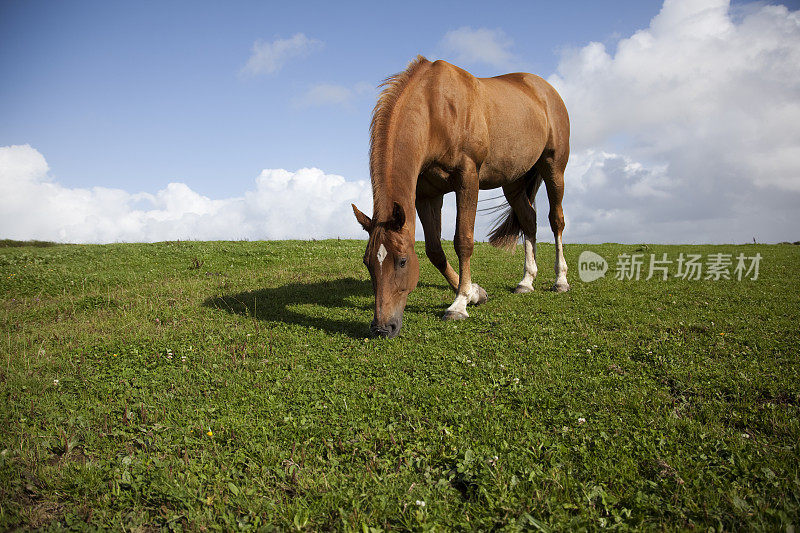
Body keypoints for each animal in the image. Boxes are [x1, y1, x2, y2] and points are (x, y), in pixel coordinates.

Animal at [354, 54, 568, 336]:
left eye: (402, 261)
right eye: (368, 262)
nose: (382, 328)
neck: (435, 109)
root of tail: (546, 90)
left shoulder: (468, 180)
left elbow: (463, 241)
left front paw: (459, 304)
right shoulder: (427, 195)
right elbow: (435, 250)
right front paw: (474, 293)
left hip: (554, 167)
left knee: (556, 220)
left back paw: (561, 279)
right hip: (513, 182)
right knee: (528, 220)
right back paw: (526, 281)